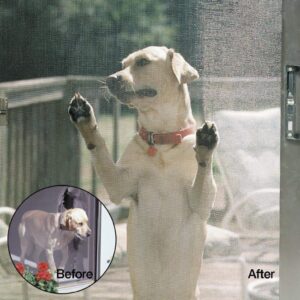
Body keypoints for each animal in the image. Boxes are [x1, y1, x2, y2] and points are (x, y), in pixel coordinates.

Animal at [68, 46, 218, 300]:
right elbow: (99, 146)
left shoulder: (201, 204)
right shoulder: (118, 183)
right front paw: (85, 119)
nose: (111, 79)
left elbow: (203, 171)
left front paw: (206, 144)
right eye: (123, 64)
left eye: (143, 62)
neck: (161, 142)